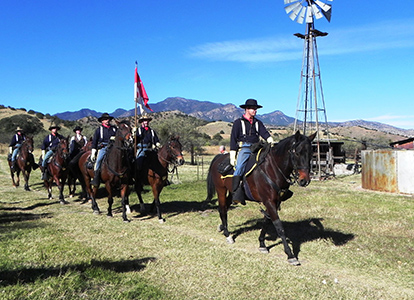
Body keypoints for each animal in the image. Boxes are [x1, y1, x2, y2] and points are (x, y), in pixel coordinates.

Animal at [205, 131, 316, 264]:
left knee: (225, 207)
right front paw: (290, 255)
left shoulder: (275, 202)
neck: (272, 169)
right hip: (221, 190)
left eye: (311, 154)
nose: (305, 180)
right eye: (297, 152)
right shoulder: (269, 201)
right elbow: (279, 227)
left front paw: (262, 244)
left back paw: (222, 227)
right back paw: (228, 235)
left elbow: (267, 221)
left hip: (232, 194)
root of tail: (218, 158)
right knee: (222, 209)